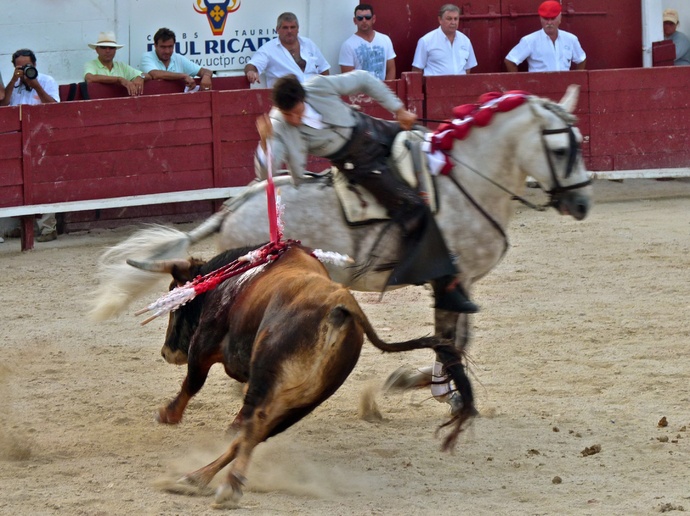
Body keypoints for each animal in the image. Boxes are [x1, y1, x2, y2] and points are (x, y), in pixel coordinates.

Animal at [128, 242, 476, 509]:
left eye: (176, 298)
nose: (167, 352)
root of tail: (341, 304)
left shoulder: (204, 344)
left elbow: (192, 383)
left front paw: (167, 413)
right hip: (306, 399)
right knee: (253, 430)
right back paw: (198, 477)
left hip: (269, 375)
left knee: (252, 422)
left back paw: (227, 486)